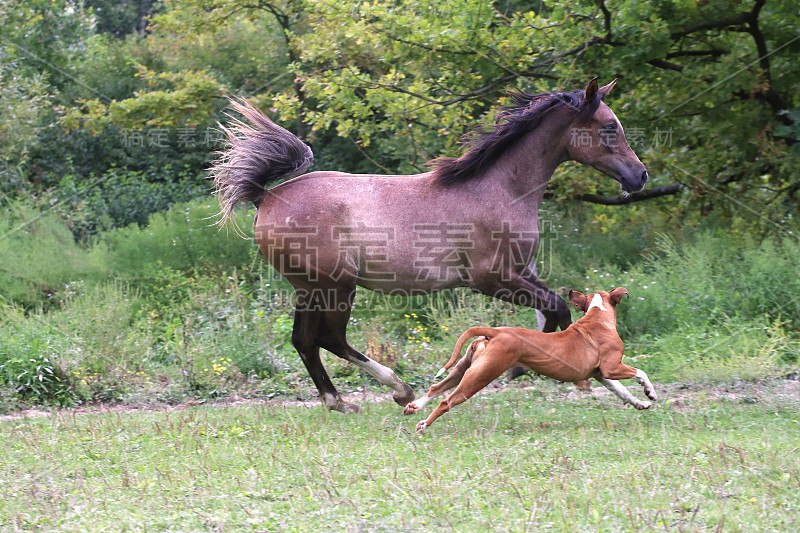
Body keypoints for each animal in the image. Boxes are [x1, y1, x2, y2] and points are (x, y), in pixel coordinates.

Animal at [209, 78, 648, 412]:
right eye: (610, 127)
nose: (640, 176)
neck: (500, 190)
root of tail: (266, 196)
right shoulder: (491, 279)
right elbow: (557, 310)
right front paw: (519, 369)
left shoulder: (523, 273)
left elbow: (561, 317)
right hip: (334, 287)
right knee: (327, 339)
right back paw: (394, 390)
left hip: (310, 288)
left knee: (304, 340)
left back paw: (340, 401)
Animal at [404, 286, 660, 432]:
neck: (598, 318)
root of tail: (495, 331)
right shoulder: (611, 368)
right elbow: (640, 372)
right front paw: (650, 392)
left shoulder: (601, 375)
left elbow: (622, 392)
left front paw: (640, 403)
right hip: (481, 376)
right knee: (446, 401)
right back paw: (424, 425)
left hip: (465, 368)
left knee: (437, 387)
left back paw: (415, 406)